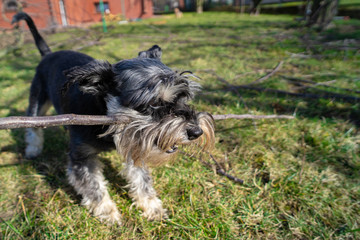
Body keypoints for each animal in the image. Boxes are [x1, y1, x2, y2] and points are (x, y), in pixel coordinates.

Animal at [12, 12, 215, 224]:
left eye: (184, 97)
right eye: (152, 103)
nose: (196, 131)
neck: (104, 117)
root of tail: (48, 54)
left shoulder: (135, 148)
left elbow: (141, 179)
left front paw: (152, 207)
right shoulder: (82, 158)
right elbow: (93, 186)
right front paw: (108, 212)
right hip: (37, 101)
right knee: (32, 125)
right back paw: (33, 150)